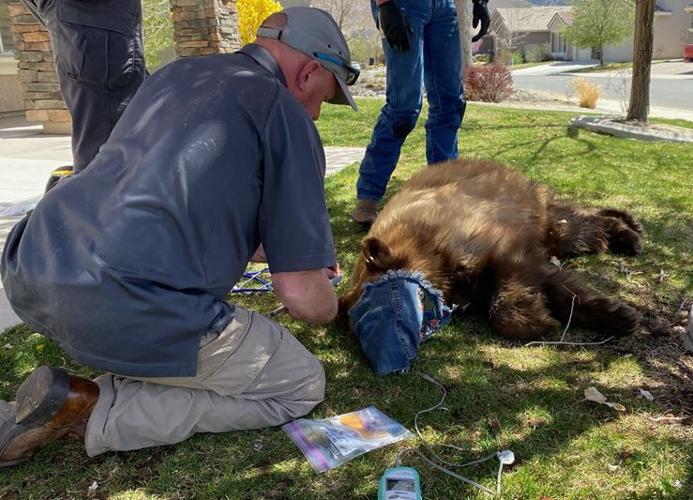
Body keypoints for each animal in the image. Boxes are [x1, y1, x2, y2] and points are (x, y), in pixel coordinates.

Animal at [341, 158, 643, 340]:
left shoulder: (488, 236)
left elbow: (518, 276)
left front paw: (538, 318)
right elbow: (554, 283)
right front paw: (613, 314)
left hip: (525, 205)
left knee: (578, 225)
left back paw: (631, 232)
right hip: (549, 226)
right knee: (580, 228)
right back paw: (627, 229)